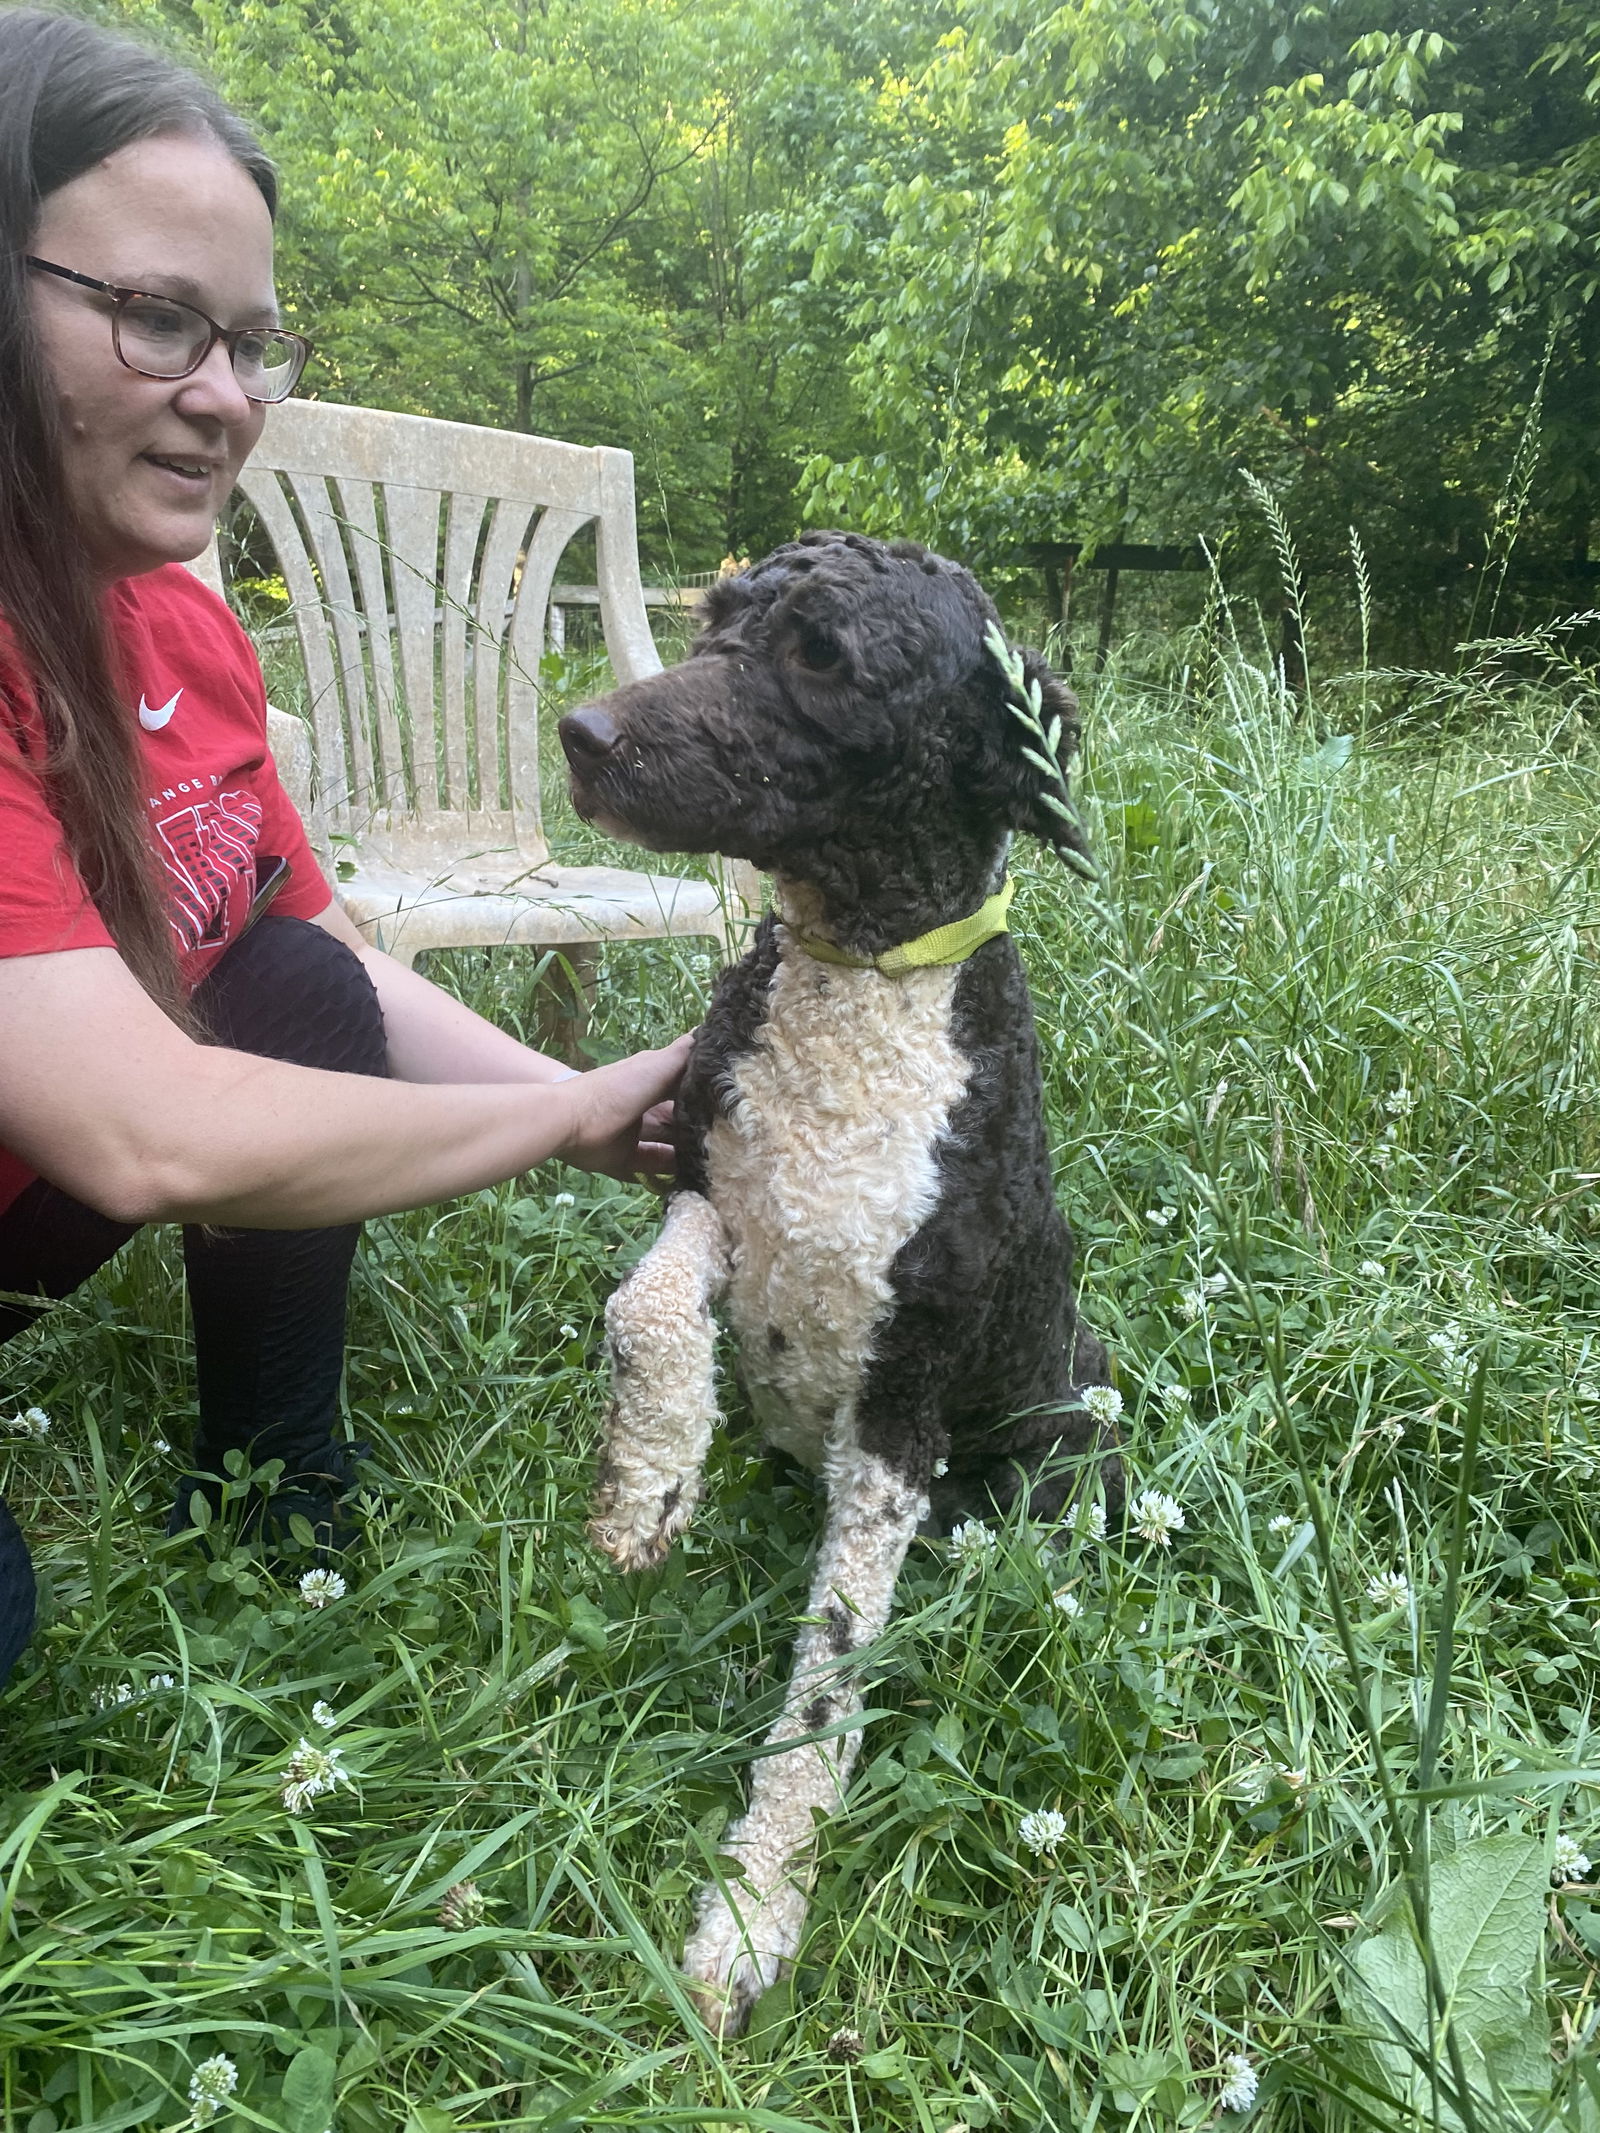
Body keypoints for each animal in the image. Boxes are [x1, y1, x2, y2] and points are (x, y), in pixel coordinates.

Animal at [563, 533, 1126, 2030]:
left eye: (821, 653)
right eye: (716, 614)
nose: (581, 733)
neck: (856, 977)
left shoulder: (896, 1412)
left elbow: (823, 1695)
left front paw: (754, 1914)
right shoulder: (716, 1188)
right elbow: (646, 1310)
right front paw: (650, 1487)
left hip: (1057, 1441)